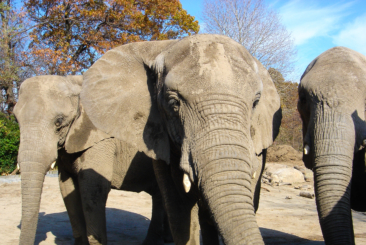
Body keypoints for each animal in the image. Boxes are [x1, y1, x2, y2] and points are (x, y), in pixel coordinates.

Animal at [12, 75, 170, 245]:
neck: (76, 82)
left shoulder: (102, 139)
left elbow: (93, 188)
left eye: (59, 121)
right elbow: (67, 188)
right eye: (16, 120)